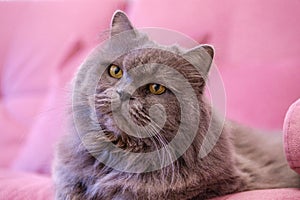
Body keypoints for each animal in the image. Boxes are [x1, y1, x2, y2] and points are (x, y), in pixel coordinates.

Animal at [52, 10, 298, 199]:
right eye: (115, 71)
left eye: (156, 88)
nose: (123, 94)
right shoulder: (66, 174)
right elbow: (68, 188)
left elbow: (129, 192)